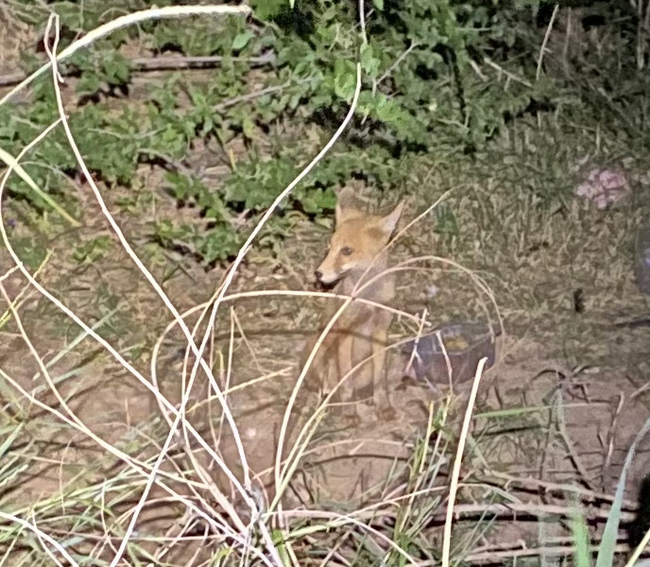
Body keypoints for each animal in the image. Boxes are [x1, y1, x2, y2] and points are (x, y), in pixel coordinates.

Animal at [300, 187, 402, 422]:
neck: (367, 299)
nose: (318, 274)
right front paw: (348, 411)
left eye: (346, 251)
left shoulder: (381, 330)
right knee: (320, 386)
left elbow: (380, 380)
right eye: (329, 248)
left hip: (386, 354)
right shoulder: (345, 332)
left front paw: (382, 405)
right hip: (319, 349)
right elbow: (345, 380)